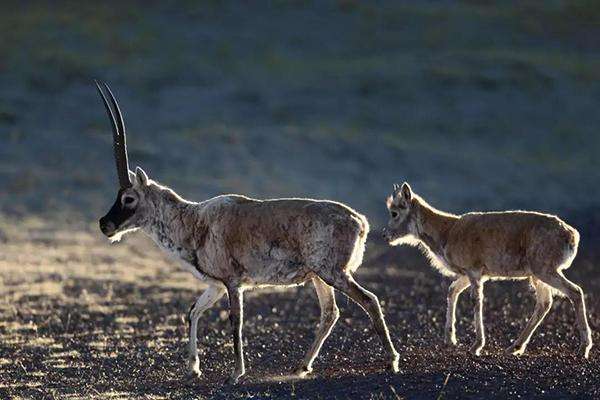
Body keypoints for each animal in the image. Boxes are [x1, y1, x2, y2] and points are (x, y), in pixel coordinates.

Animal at [96, 82, 400, 384]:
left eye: (129, 199)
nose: (104, 225)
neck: (195, 221)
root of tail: (359, 221)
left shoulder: (233, 283)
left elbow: (235, 320)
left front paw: (235, 373)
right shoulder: (216, 285)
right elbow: (193, 312)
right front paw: (193, 367)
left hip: (334, 273)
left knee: (369, 300)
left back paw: (391, 361)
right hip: (319, 276)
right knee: (330, 312)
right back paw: (301, 366)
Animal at [384, 183, 592, 358]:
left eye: (394, 212)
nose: (385, 234)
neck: (447, 233)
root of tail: (572, 236)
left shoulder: (474, 271)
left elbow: (476, 301)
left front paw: (476, 346)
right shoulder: (468, 273)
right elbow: (452, 290)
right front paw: (450, 339)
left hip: (544, 268)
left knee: (575, 291)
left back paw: (583, 348)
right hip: (537, 274)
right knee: (545, 302)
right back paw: (514, 347)